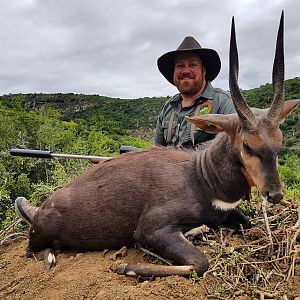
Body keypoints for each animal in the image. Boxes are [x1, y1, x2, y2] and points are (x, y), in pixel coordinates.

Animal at [17, 13, 298, 276]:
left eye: (279, 144)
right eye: (248, 145)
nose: (275, 194)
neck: (201, 175)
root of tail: (42, 209)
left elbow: (245, 223)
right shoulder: (151, 229)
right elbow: (200, 263)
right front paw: (126, 267)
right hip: (39, 237)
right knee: (31, 251)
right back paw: (50, 257)